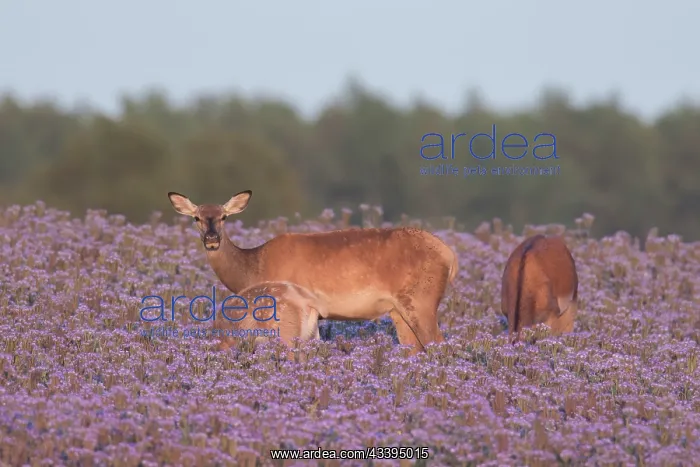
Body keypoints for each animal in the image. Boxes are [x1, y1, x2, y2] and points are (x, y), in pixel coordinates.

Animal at [167, 190, 458, 355]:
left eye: (224, 216)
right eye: (196, 217)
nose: (212, 239)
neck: (253, 266)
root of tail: (450, 256)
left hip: (421, 299)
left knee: (437, 344)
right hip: (398, 310)